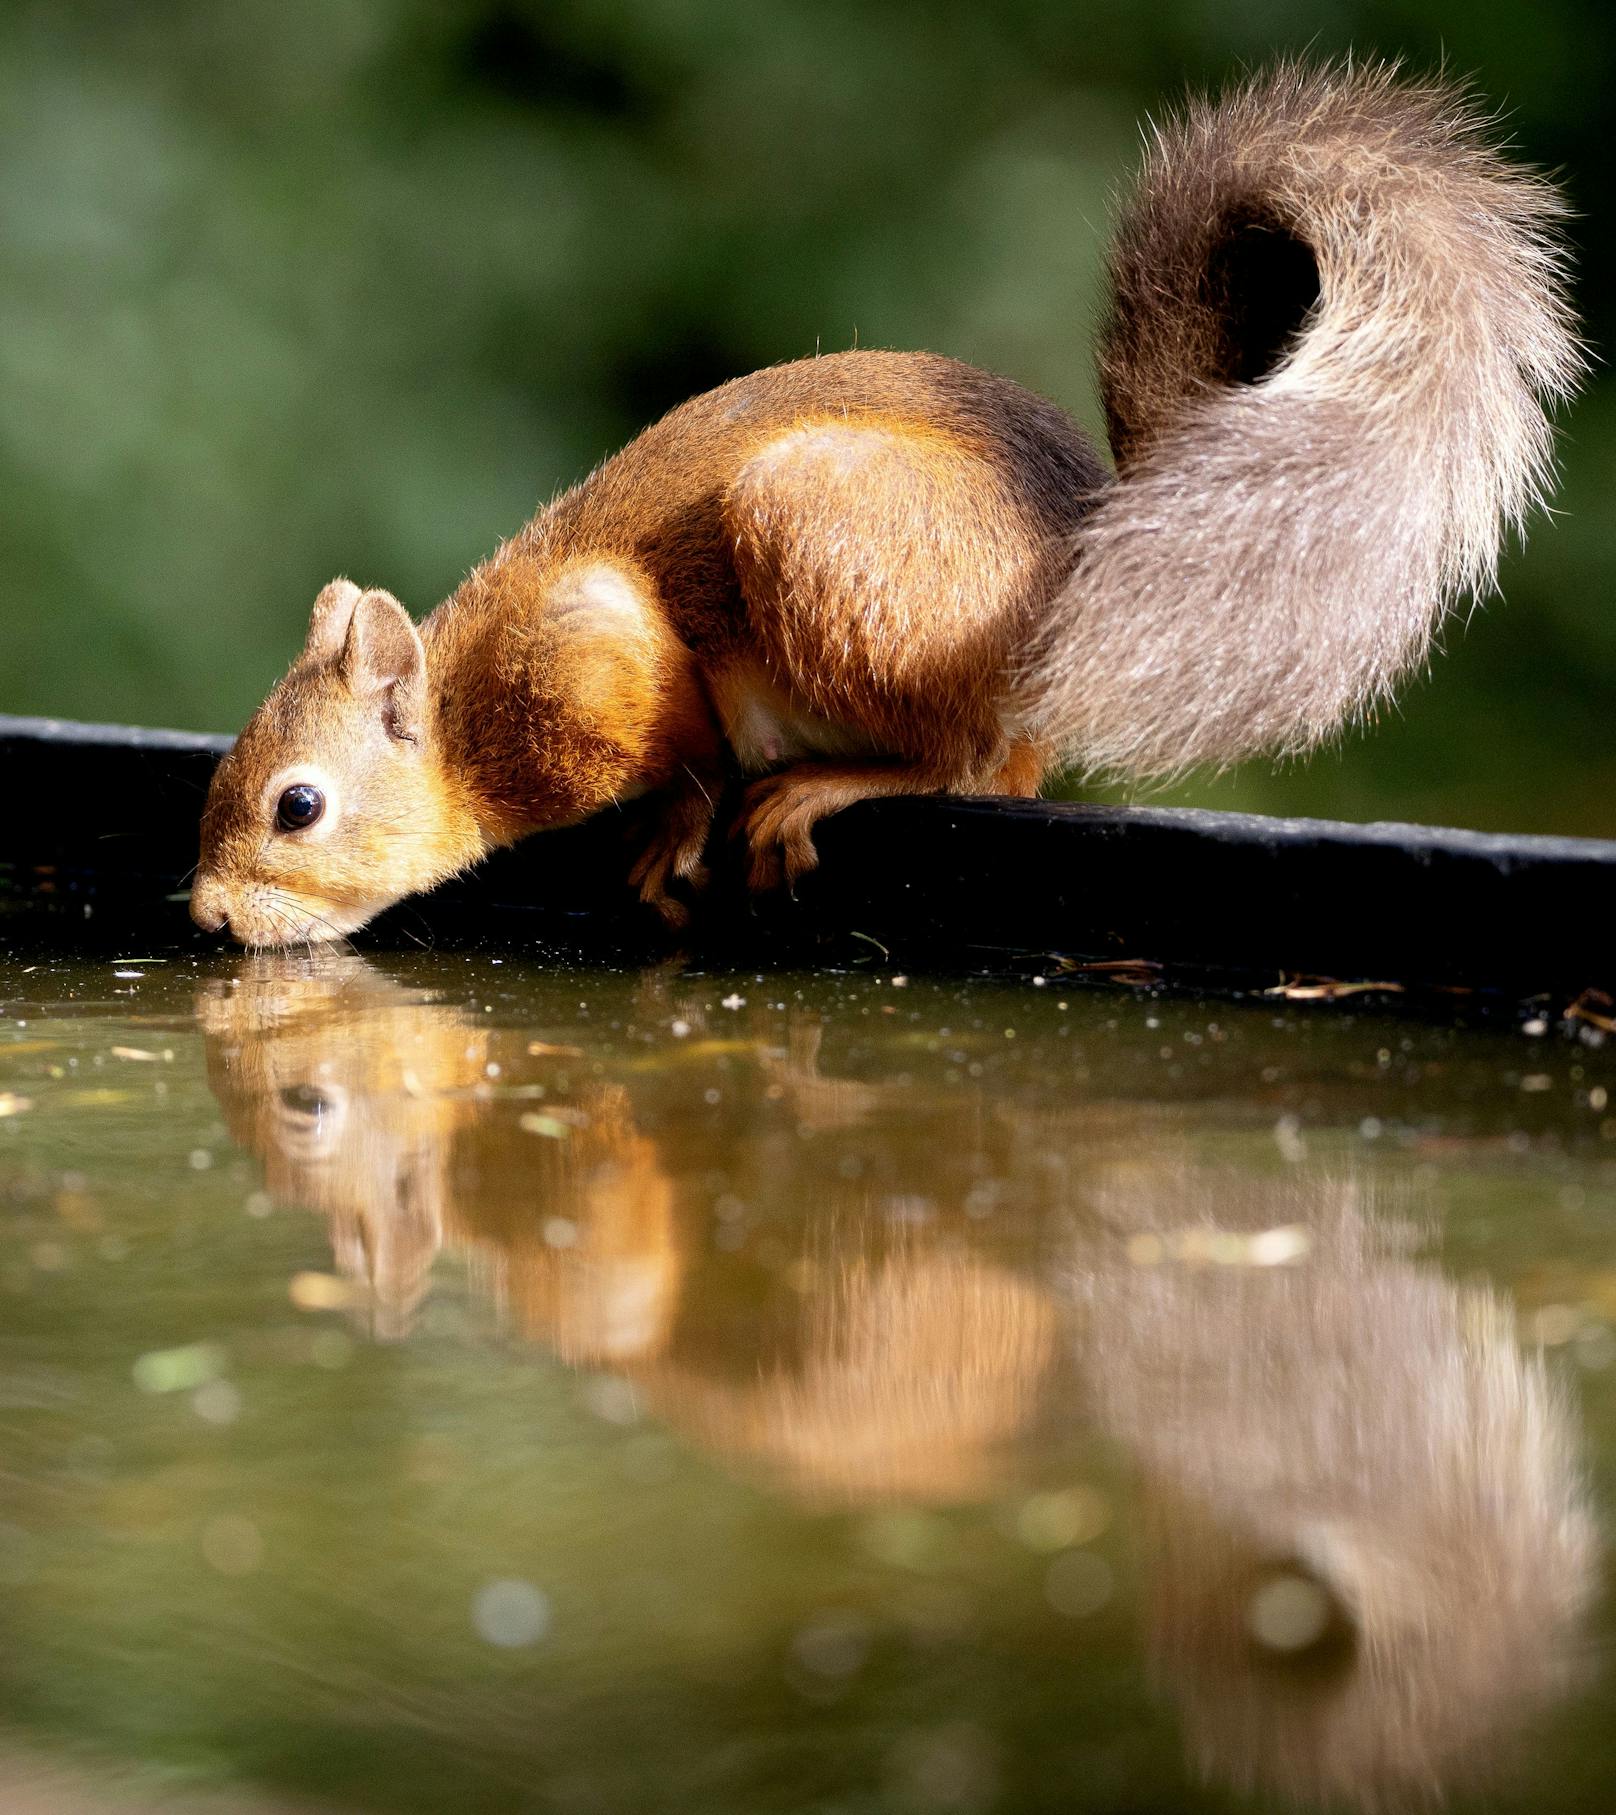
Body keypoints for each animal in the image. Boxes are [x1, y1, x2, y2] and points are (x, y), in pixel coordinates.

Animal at [188, 63, 1576, 943]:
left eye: (297, 806)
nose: (205, 914)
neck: (468, 713)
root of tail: (1078, 552)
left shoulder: (589, 657)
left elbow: (682, 744)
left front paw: (670, 830)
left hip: (818, 529)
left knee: (974, 763)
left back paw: (825, 786)